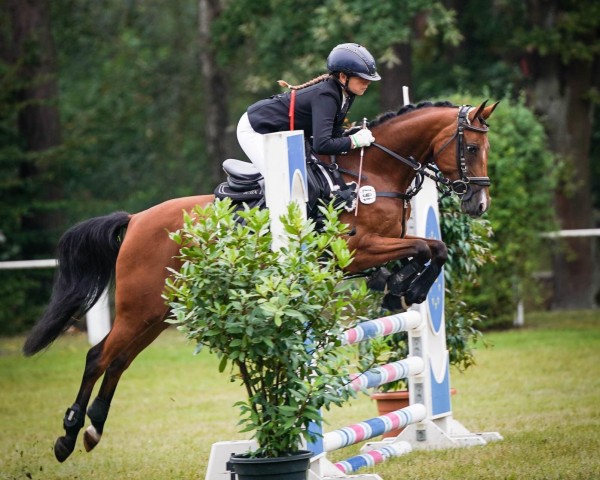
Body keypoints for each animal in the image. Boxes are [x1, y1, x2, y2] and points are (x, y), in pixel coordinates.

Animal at [22, 98, 496, 462]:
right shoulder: (357, 250)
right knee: (98, 357)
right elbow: (429, 249)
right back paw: (67, 436)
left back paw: (93, 430)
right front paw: (406, 288)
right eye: (471, 146)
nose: (479, 202)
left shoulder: (383, 245)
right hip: (140, 309)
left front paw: (398, 286)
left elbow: (432, 248)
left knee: (117, 360)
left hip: (156, 313)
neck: (374, 174)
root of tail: (136, 219)